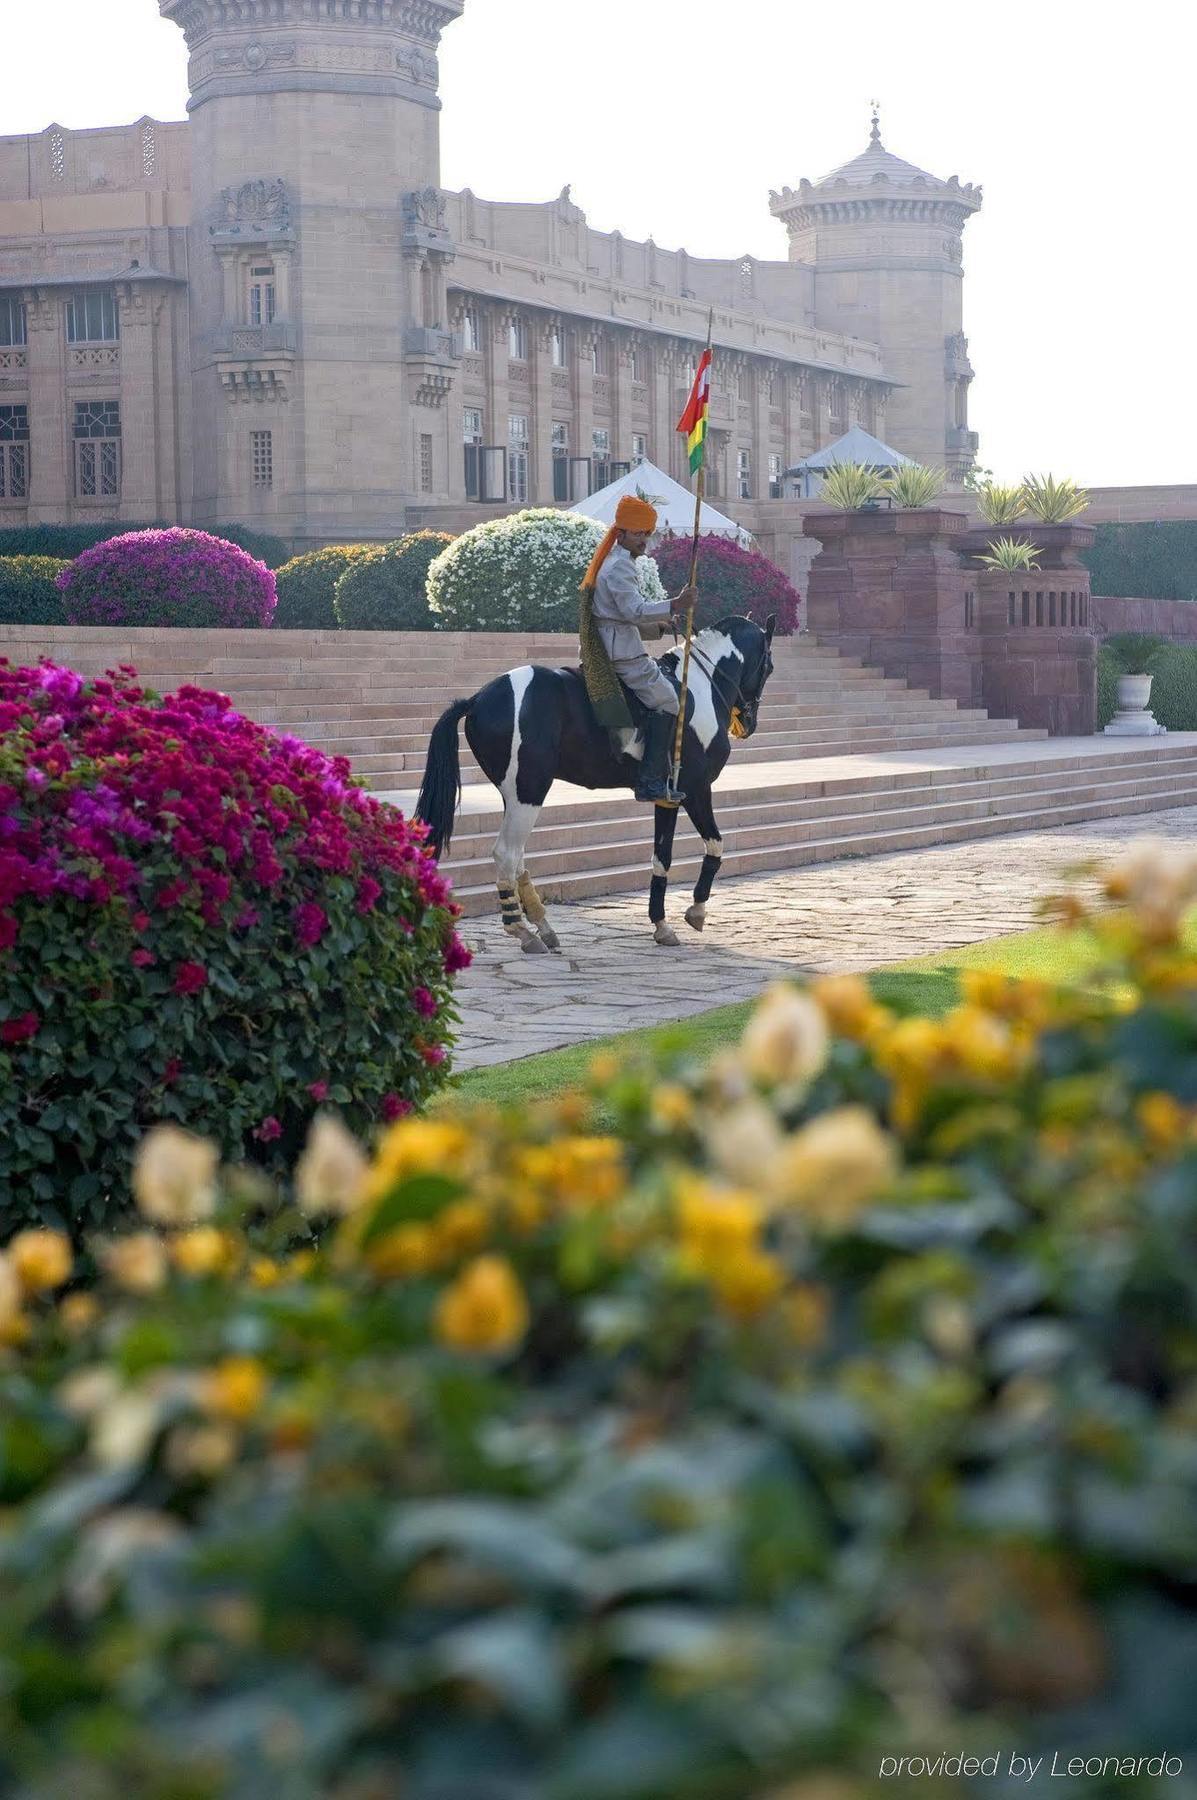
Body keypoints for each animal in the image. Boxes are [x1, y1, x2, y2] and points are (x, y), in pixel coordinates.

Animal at [415, 615, 781, 957]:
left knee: (516, 857)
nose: (749, 723)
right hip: (529, 791)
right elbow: (715, 845)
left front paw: (661, 925)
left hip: (516, 795)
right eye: (769, 666)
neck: (702, 685)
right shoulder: (697, 789)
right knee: (506, 852)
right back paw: (523, 932)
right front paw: (696, 911)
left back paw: (543, 927)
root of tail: (478, 698)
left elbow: (661, 858)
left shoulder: (667, 798)